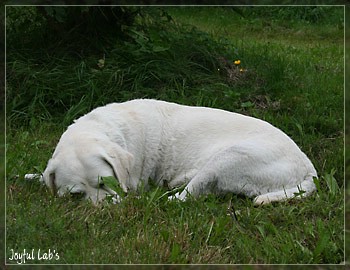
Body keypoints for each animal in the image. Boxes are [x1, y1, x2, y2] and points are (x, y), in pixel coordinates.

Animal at [41, 99, 318, 205]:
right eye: (76, 195)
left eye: (105, 183)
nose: (106, 208)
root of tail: (309, 171)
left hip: (230, 156)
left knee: (185, 197)